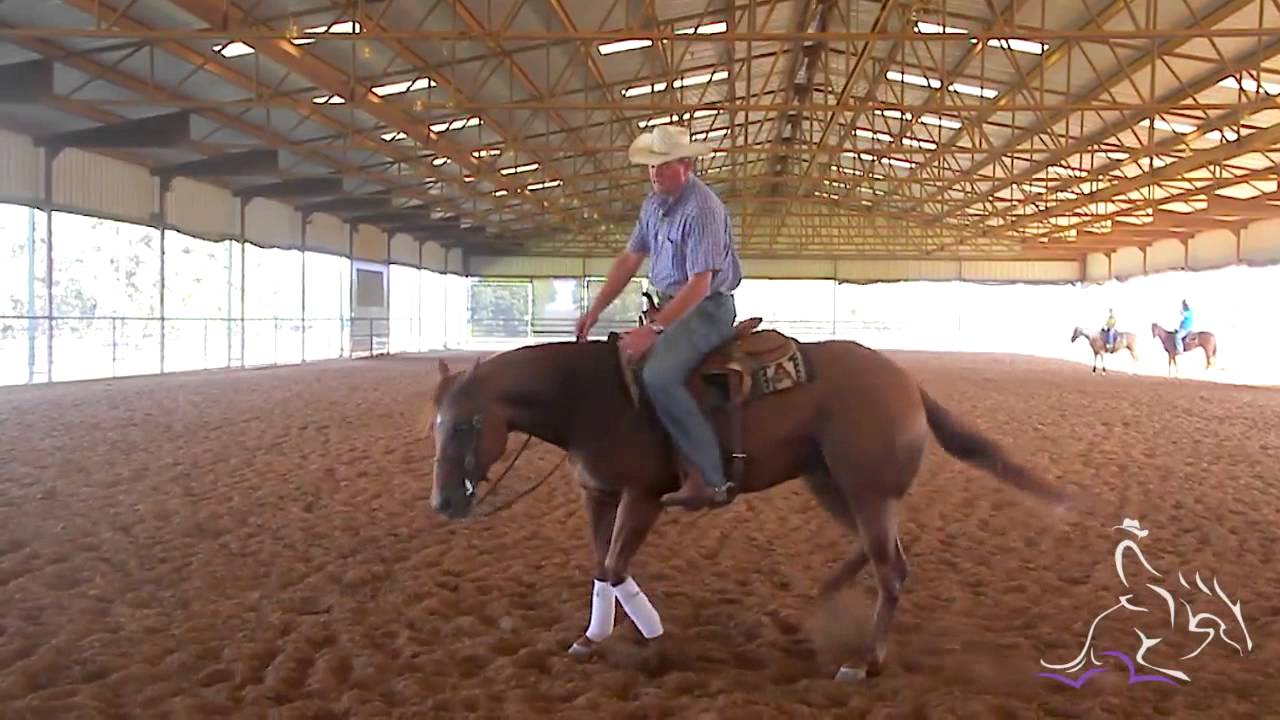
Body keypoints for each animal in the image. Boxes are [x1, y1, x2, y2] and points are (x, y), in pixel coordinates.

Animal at [425, 315, 1073, 683]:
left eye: (466, 425)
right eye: (436, 425)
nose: (443, 504)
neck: (592, 396)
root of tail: (908, 382)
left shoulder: (645, 495)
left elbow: (613, 565)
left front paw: (654, 644)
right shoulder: (598, 494)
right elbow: (604, 568)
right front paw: (594, 639)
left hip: (862, 487)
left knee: (890, 568)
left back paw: (864, 662)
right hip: (830, 481)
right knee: (883, 553)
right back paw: (826, 600)